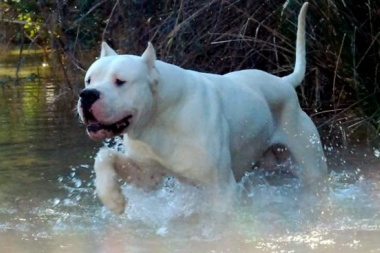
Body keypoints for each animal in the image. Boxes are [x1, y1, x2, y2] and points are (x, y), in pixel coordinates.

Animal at [77, 2, 326, 214]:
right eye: (89, 80)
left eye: (120, 81)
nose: (87, 95)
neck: (159, 117)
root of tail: (284, 82)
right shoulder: (148, 175)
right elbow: (104, 156)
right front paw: (112, 197)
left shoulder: (221, 189)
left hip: (310, 162)